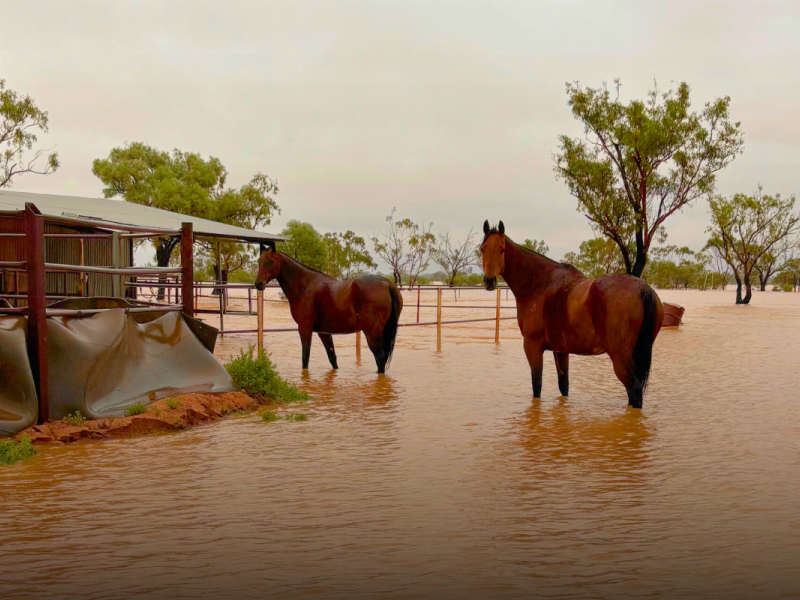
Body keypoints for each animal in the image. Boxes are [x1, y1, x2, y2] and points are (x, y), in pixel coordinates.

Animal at [254, 245, 403, 373]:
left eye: (271, 261)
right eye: (259, 261)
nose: (258, 284)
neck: (304, 285)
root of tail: (388, 284)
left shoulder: (304, 328)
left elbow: (305, 358)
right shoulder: (324, 332)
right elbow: (332, 358)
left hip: (372, 333)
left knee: (380, 358)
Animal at [480, 220, 663, 408]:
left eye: (502, 249)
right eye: (482, 249)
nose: (489, 281)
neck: (539, 283)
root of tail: (643, 289)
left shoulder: (532, 346)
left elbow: (537, 385)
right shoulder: (561, 350)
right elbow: (564, 386)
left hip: (621, 358)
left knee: (634, 390)